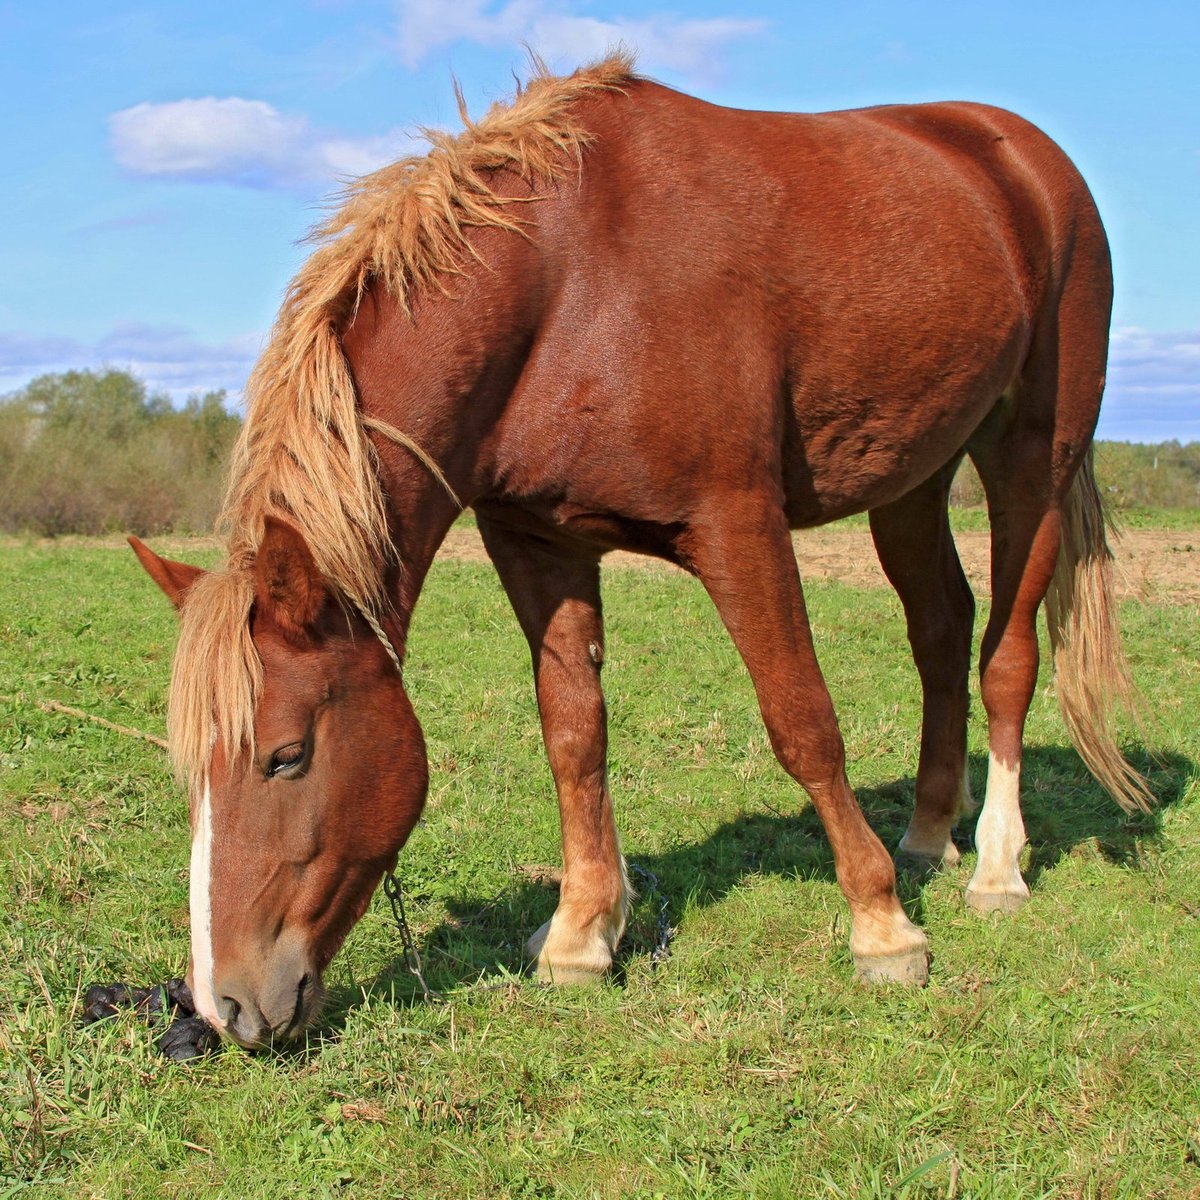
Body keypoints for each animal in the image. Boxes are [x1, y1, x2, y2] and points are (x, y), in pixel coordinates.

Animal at [126, 56, 1147, 1051]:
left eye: (287, 756)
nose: (226, 1008)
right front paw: (582, 932)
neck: (572, 283)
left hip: (1032, 455)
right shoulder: (537, 540)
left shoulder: (737, 525)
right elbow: (574, 732)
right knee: (940, 629)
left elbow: (803, 721)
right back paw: (931, 835)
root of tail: (1019, 156)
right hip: (911, 478)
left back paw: (996, 869)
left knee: (1007, 656)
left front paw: (884, 930)